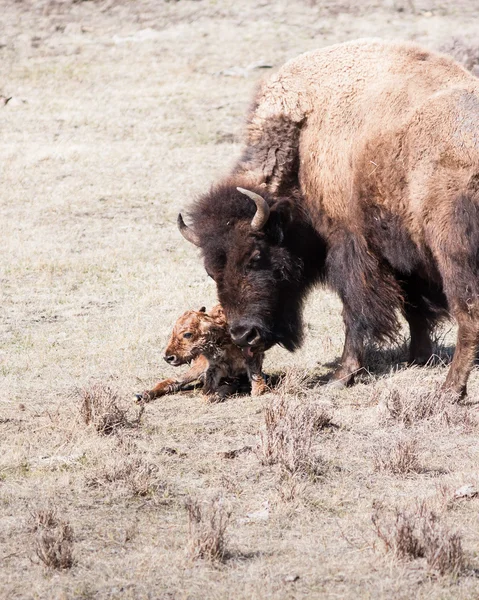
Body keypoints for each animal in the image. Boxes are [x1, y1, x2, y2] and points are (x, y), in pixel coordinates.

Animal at [137, 304, 268, 404]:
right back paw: (142, 395)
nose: (168, 357)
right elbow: (209, 390)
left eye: (187, 334)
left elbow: (255, 382)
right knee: (175, 380)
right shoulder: (213, 367)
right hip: (197, 369)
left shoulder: (252, 360)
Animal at [178, 36, 479, 394]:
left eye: (255, 256)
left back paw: (451, 389)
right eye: (211, 271)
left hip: (453, 254)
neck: (302, 140)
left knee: (469, 314)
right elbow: (414, 307)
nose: (244, 335)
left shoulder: (352, 246)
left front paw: (341, 375)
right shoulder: (401, 251)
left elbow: (355, 311)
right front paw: (418, 358)